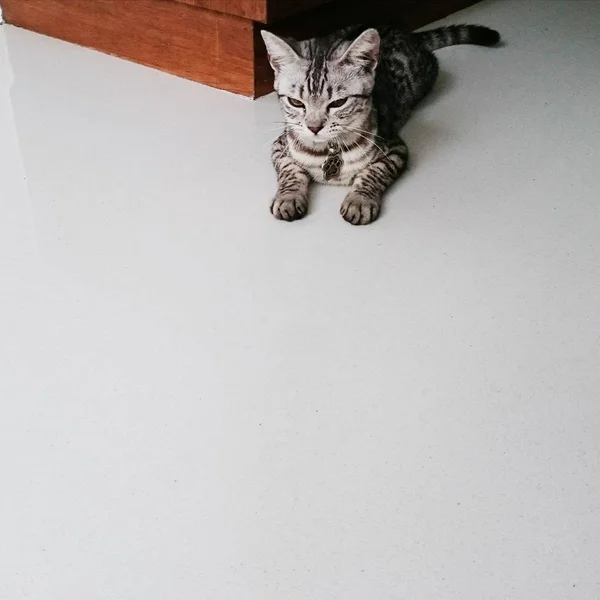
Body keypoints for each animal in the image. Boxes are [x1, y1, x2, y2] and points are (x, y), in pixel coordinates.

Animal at [262, 22, 502, 225]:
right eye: (295, 102)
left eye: (338, 103)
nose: (314, 127)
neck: (327, 149)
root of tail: (402, 31)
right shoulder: (280, 145)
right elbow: (289, 169)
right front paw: (289, 196)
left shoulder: (395, 148)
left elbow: (374, 172)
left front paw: (359, 200)